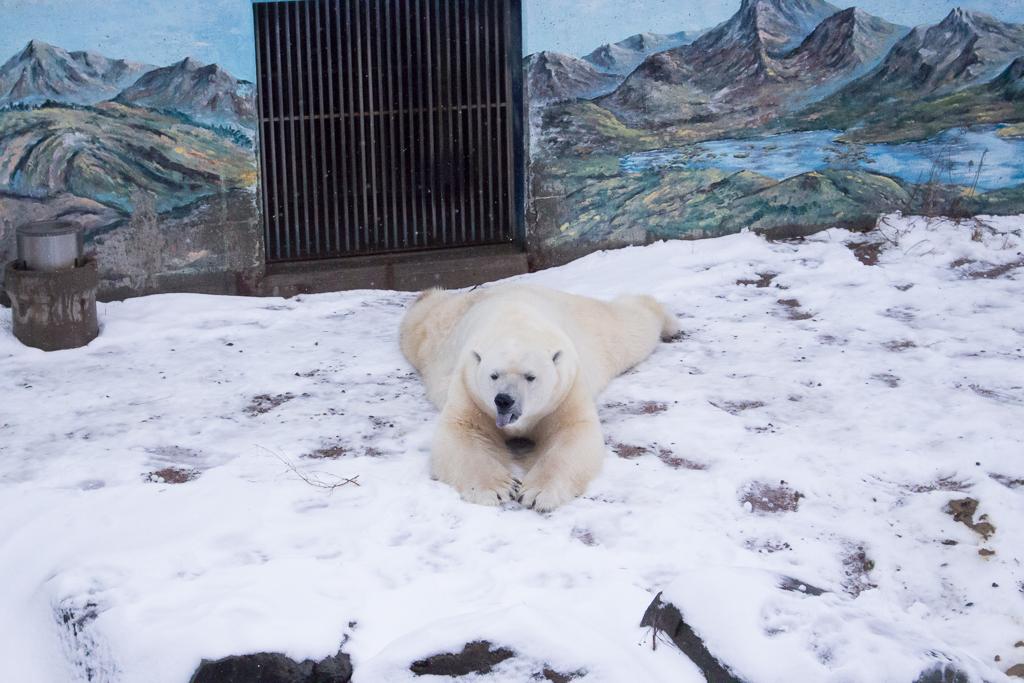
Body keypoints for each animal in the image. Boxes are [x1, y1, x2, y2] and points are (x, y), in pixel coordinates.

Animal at [399, 282, 679, 511]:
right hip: (438, 332)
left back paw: (670, 324)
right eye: (493, 375)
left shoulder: (565, 388)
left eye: (530, 376)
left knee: (631, 328)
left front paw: (537, 493)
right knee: (420, 319)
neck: (516, 325)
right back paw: (423, 295)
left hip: (597, 331)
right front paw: (499, 488)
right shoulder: (469, 387)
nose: (504, 400)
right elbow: (462, 432)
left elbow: (571, 432)